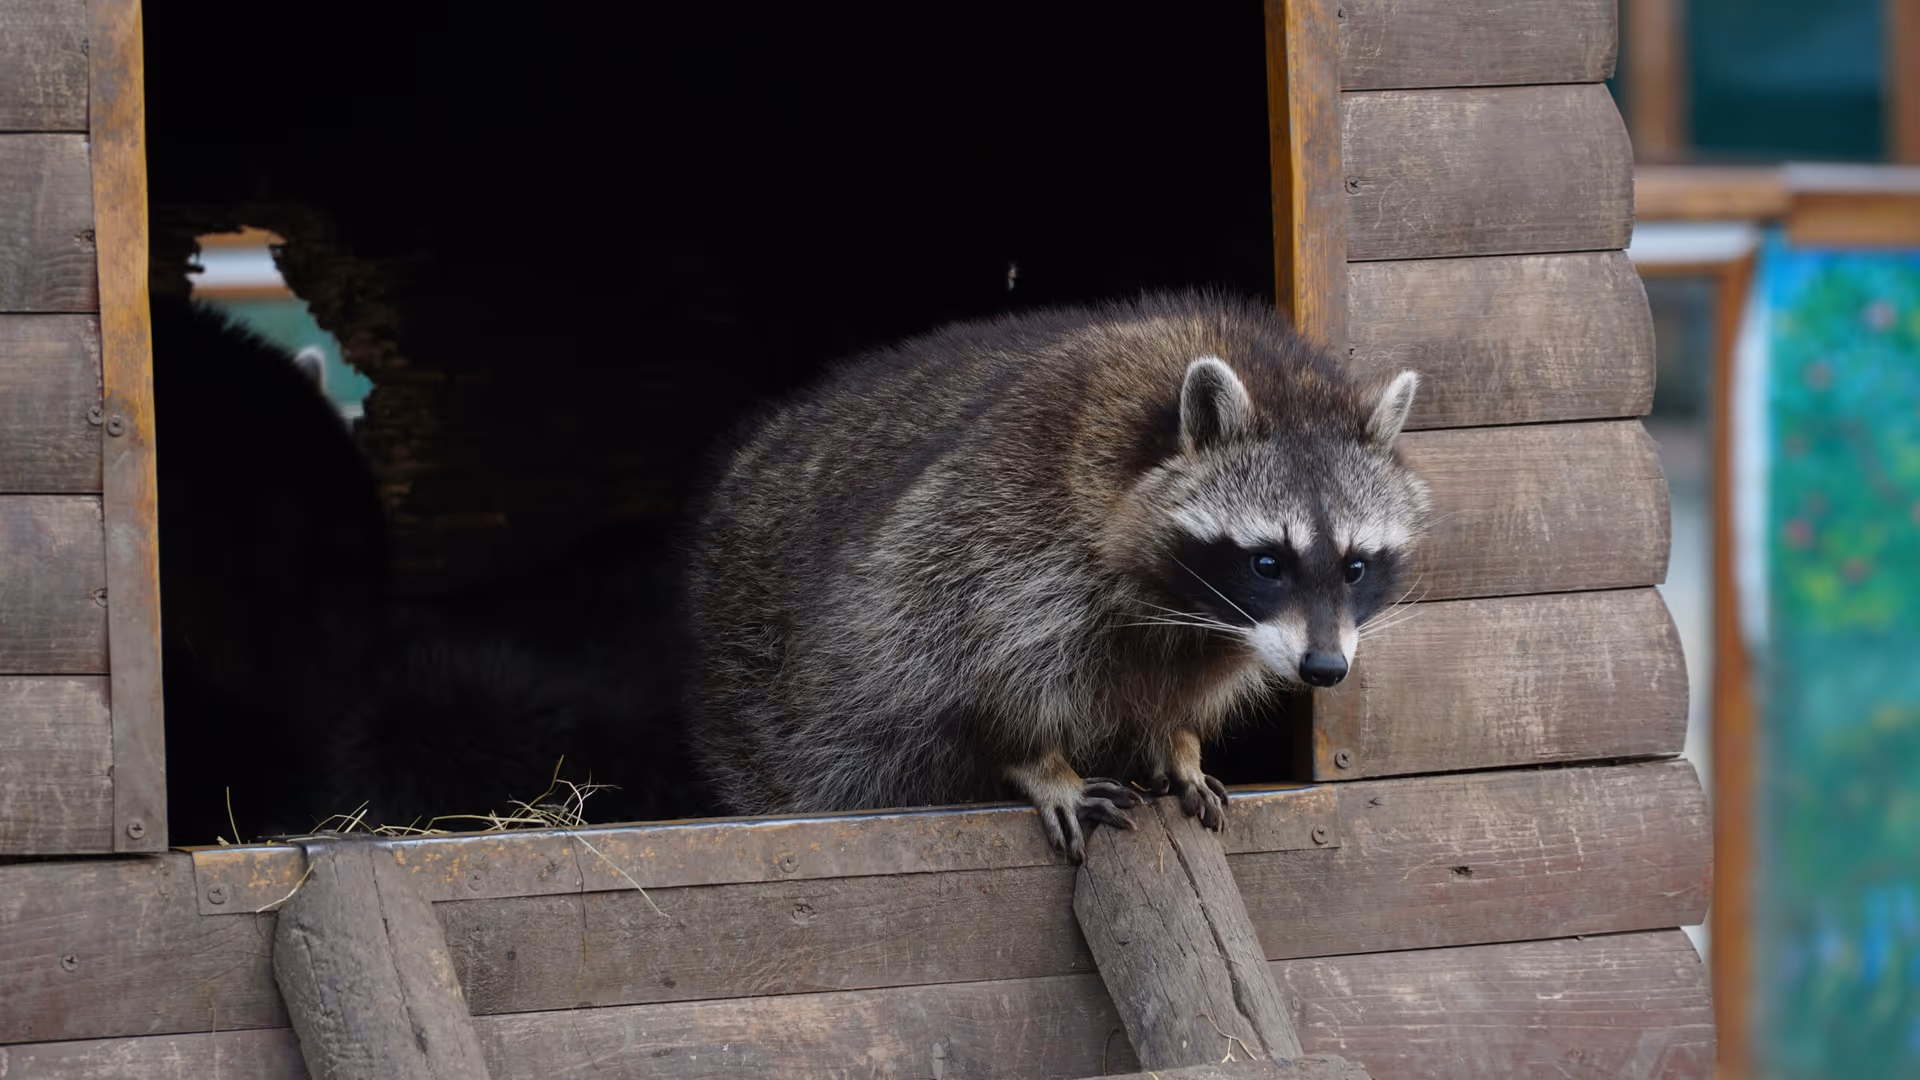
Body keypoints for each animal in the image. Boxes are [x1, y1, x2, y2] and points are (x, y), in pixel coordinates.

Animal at [683, 293, 1429, 861]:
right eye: (1268, 562)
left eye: (1356, 567)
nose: (1325, 669)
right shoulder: (1000, 526)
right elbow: (950, 666)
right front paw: (1040, 761)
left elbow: (1182, 690)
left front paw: (1179, 740)